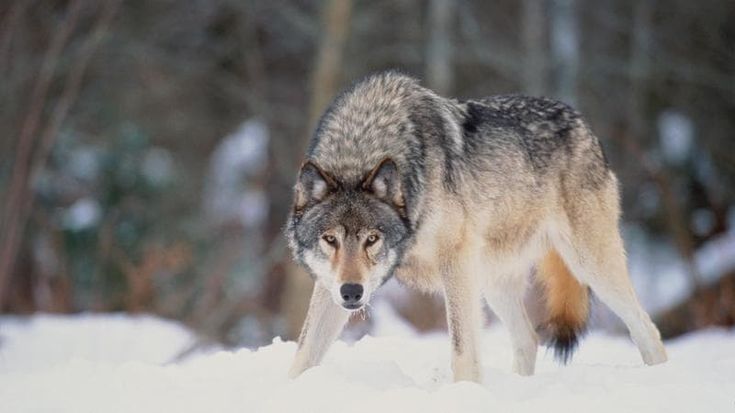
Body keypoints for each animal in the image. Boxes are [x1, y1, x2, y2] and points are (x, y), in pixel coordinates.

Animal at [285, 71, 667, 383]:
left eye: (372, 239)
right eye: (330, 239)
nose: (352, 292)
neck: (363, 145)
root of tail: (581, 120)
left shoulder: (455, 263)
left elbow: (462, 349)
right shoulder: (329, 285)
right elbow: (303, 353)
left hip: (590, 266)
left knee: (648, 330)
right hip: (493, 282)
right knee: (528, 339)